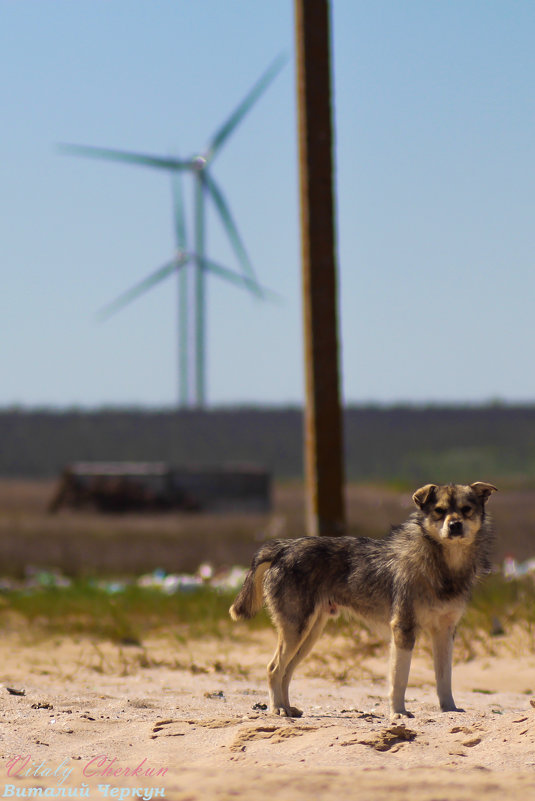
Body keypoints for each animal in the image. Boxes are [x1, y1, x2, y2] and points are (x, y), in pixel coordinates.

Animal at [230, 482, 498, 720]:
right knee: (273, 668)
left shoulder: (445, 632)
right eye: (440, 511)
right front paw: (398, 713)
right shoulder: (403, 629)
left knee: (286, 672)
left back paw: (288, 708)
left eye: (466, 509)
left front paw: (449, 709)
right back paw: (277, 709)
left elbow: (444, 678)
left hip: (308, 635)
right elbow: (399, 680)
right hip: (296, 631)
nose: (455, 525)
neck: (444, 565)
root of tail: (283, 547)